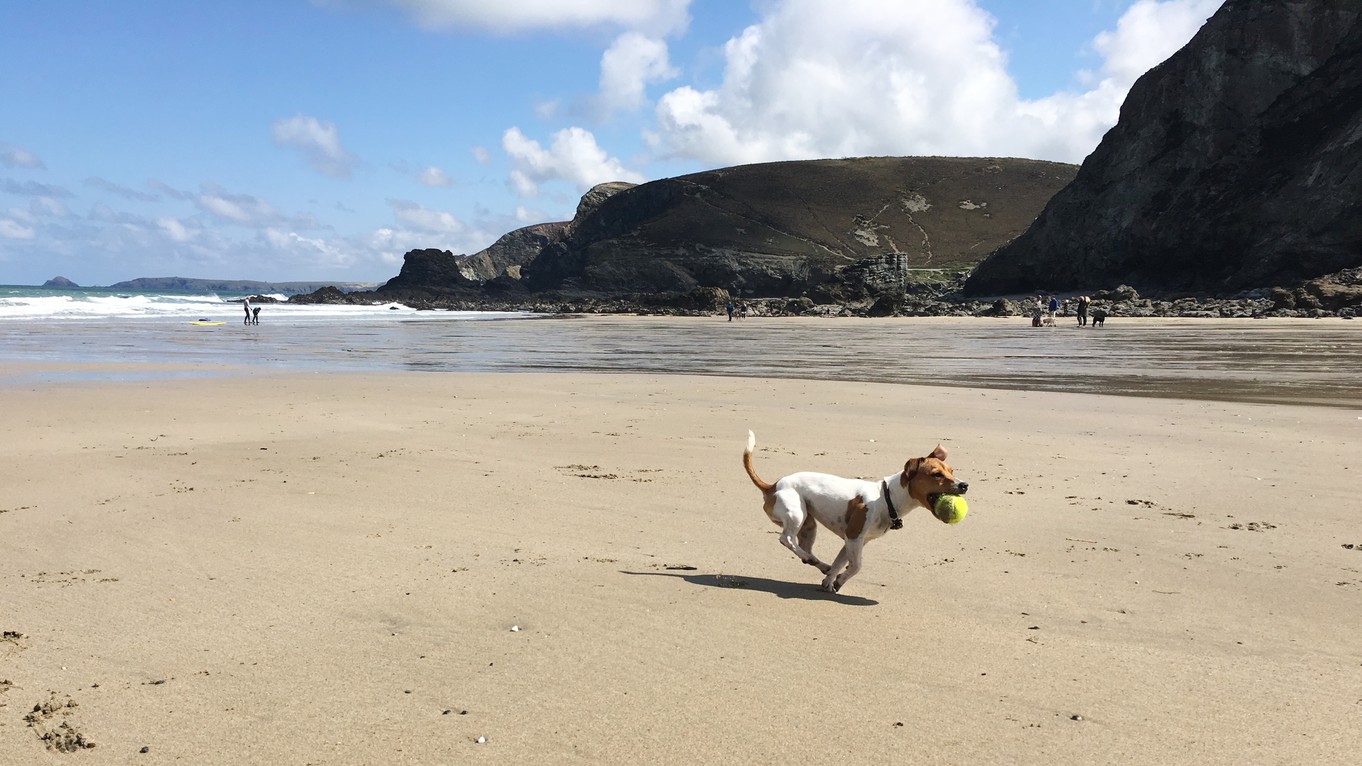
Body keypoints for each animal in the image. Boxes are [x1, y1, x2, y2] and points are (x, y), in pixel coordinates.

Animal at [746, 430, 969, 591]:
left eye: (951, 471)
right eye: (936, 474)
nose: (965, 485)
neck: (887, 497)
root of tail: (772, 486)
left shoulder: (853, 541)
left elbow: (839, 563)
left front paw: (830, 581)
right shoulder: (854, 536)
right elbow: (856, 566)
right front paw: (839, 580)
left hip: (809, 525)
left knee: (804, 549)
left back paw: (818, 563)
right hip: (796, 514)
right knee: (786, 539)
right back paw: (809, 557)